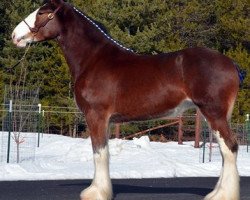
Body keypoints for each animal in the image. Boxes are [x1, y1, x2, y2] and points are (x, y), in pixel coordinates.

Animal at [12, 0, 242, 200]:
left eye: (42, 12)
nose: (14, 35)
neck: (94, 59)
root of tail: (231, 64)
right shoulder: (105, 120)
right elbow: (103, 152)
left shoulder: (96, 116)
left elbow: (99, 152)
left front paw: (96, 193)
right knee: (224, 151)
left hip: (214, 113)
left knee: (229, 147)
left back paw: (222, 195)